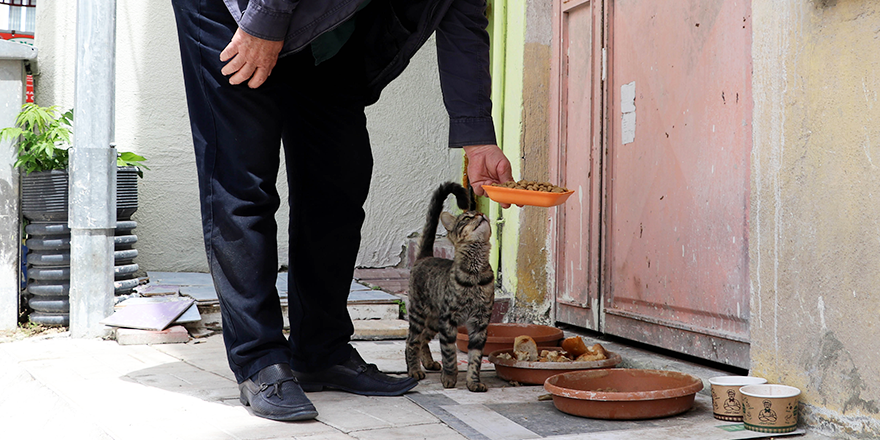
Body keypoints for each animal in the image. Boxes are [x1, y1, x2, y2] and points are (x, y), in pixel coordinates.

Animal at [406, 182, 496, 392]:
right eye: (467, 217)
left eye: (479, 213)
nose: (482, 214)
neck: (475, 274)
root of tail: (425, 256)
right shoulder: (448, 321)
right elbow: (449, 355)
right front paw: (449, 378)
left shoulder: (480, 324)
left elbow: (475, 359)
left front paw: (473, 382)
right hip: (419, 314)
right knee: (411, 341)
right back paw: (414, 370)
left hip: (433, 320)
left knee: (422, 340)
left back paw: (428, 363)